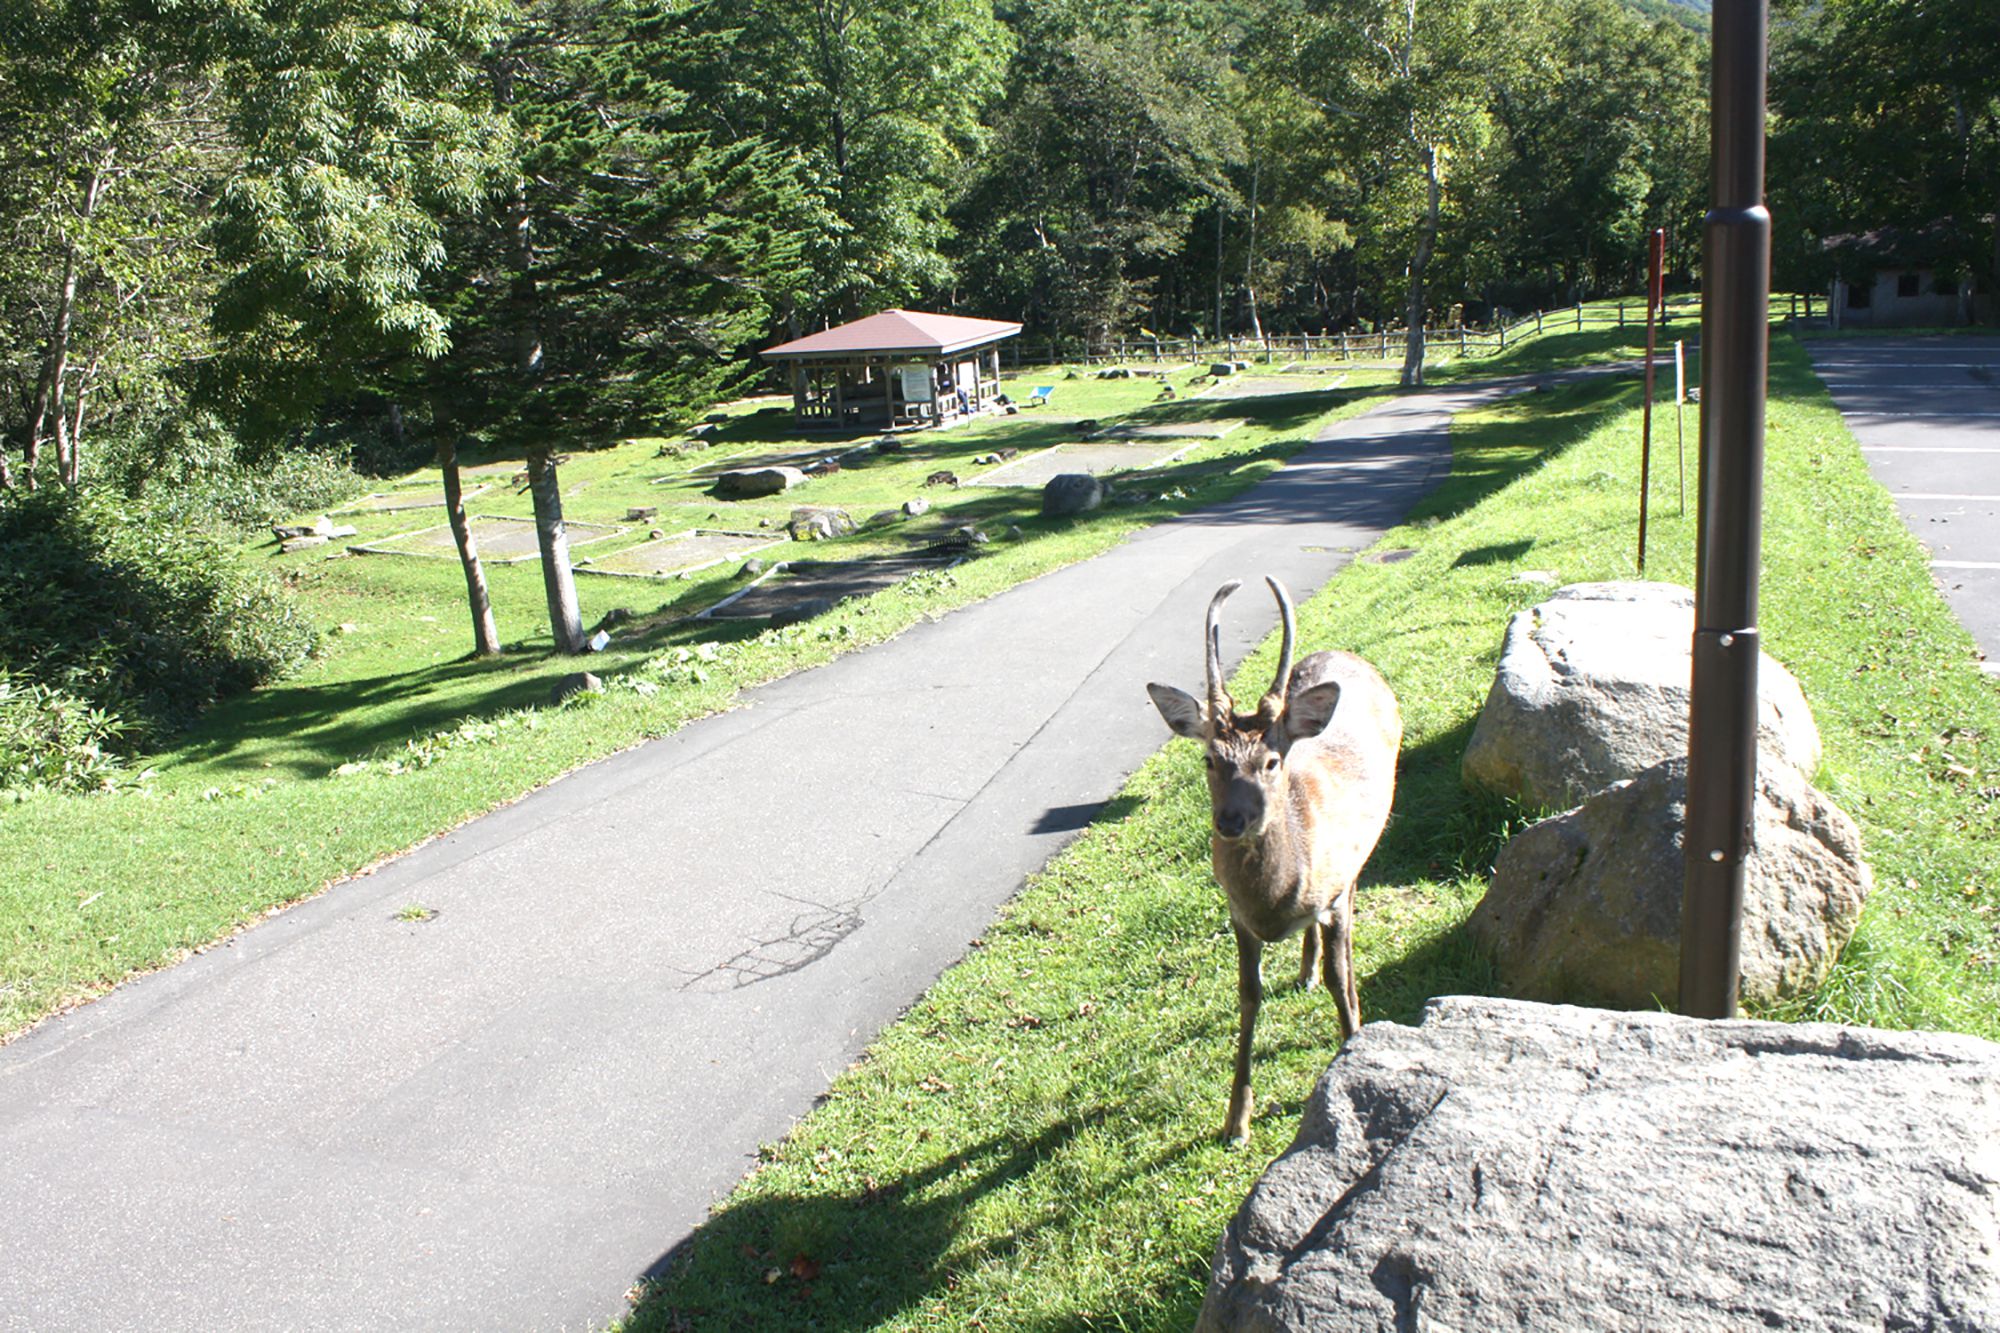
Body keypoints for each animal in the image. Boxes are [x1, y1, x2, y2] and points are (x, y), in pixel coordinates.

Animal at [1152, 576, 1400, 1136]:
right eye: (1209, 758)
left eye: (1270, 761)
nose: (1230, 822)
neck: (1276, 901)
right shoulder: (1238, 916)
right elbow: (1249, 993)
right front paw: (1236, 1120)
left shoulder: (1334, 892)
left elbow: (1339, 976)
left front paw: (1351, 1044)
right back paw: (1304, 968)